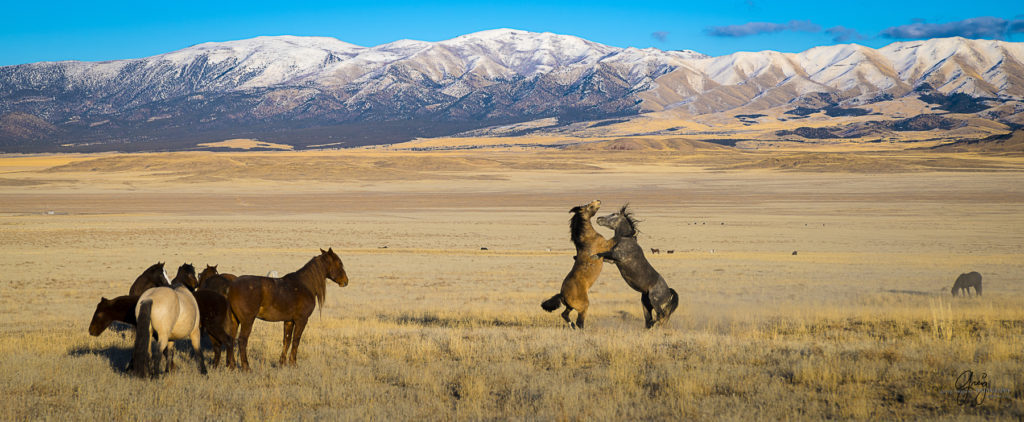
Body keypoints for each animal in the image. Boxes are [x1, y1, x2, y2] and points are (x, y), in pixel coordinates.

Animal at [540, 200, 610, 329]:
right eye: (589, 205)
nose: (598, 201)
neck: (586, 237)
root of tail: (562, 294)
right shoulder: (606, 244)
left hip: (570, 306)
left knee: (564, 314)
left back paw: (571, 325)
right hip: (583, 305)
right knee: (579, 322)